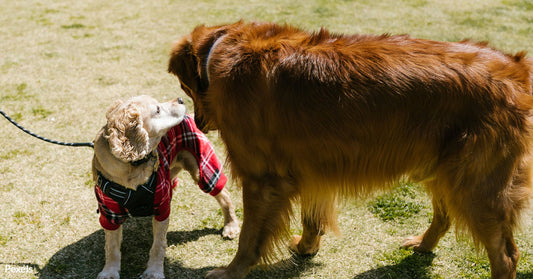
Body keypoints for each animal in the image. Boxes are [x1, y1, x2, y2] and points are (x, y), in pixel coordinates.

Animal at [92, 96, 240, 279]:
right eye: (157, 110)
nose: (181, 99)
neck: (133, 167)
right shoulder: (109, 212)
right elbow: (111, 247)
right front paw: (109, 271)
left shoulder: (161, 206)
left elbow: (158, 244)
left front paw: (154, 271)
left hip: (203, 169)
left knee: (225, 195)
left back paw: (231, 226)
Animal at [168, 20, 532, 278]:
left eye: (185, 86)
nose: (198, 122)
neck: (223, 47)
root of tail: (517, 68)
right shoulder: (311, 169)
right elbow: (311, 217)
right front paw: (307, 247)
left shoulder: (262, 180)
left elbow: (249, 237)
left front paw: (232, 271)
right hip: (445, 169)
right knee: (444, 217)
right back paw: (422, 244)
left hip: (476, 186)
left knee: (506, 256)